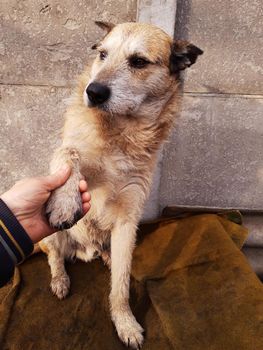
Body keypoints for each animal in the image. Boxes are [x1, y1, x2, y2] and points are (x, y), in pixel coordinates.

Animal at [39, 21, 204, 348]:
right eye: (102, 54)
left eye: (138, 61)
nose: (94, 91)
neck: (121, 133)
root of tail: (84, 251)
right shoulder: (71, 156)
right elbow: (68, 153)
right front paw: (65, 200)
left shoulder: (129, 218)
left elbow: (121, 286)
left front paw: (125, 323)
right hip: (49, 236)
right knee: (55, 256)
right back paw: (60, 280)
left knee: (109, 256)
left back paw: (105, 257)